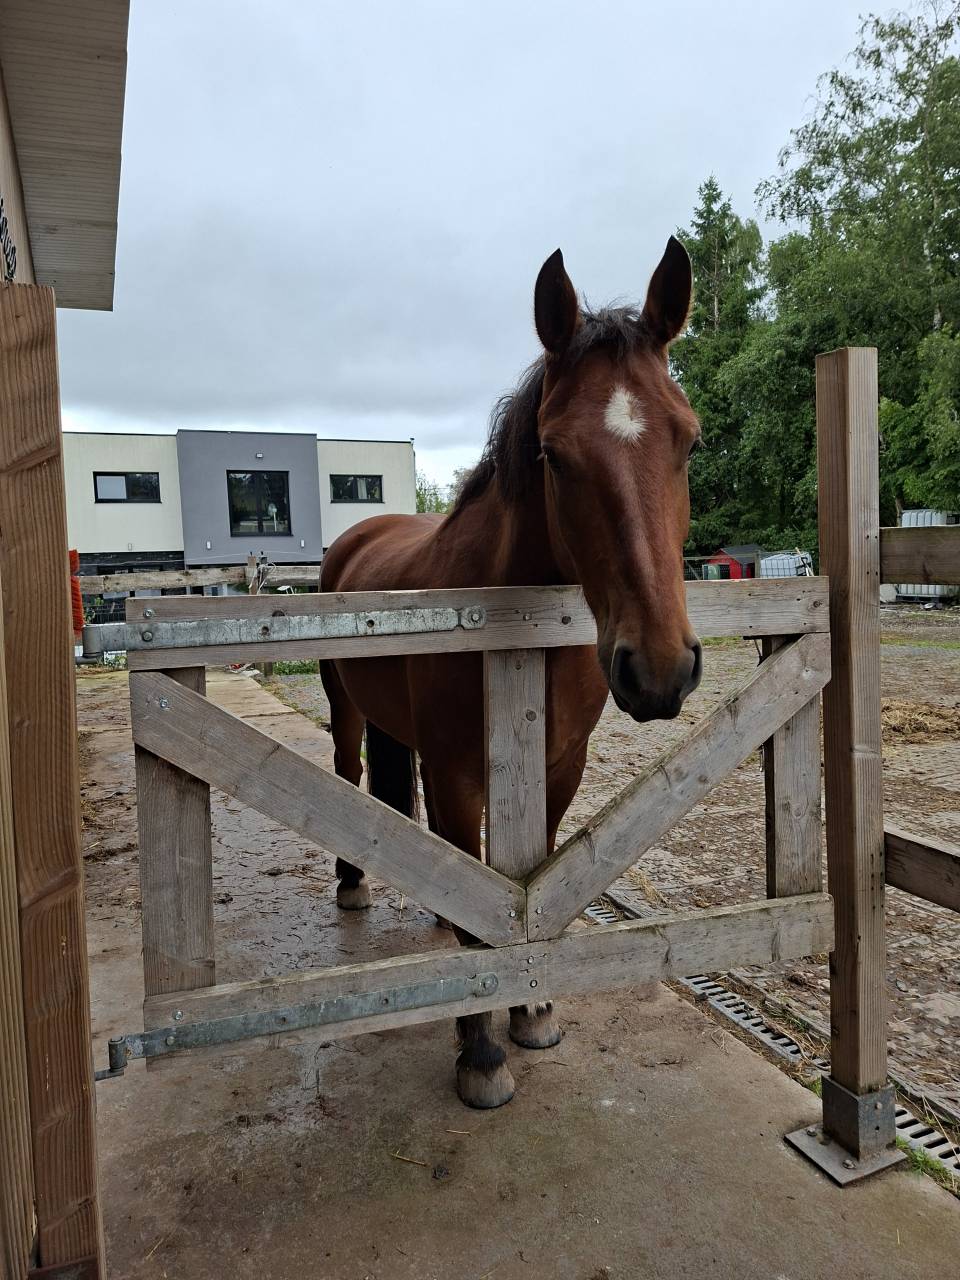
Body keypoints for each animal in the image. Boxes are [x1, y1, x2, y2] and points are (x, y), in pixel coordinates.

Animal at [319, 236, 703, 1108]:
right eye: (554, 455)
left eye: (689, 439)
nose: (660, 669)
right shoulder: (459, 773)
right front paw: (480, 1048)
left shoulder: (558, 767)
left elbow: (527, 883)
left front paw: (530, 1009)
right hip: (347, 709)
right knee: (349, 771)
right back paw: (354, 882)